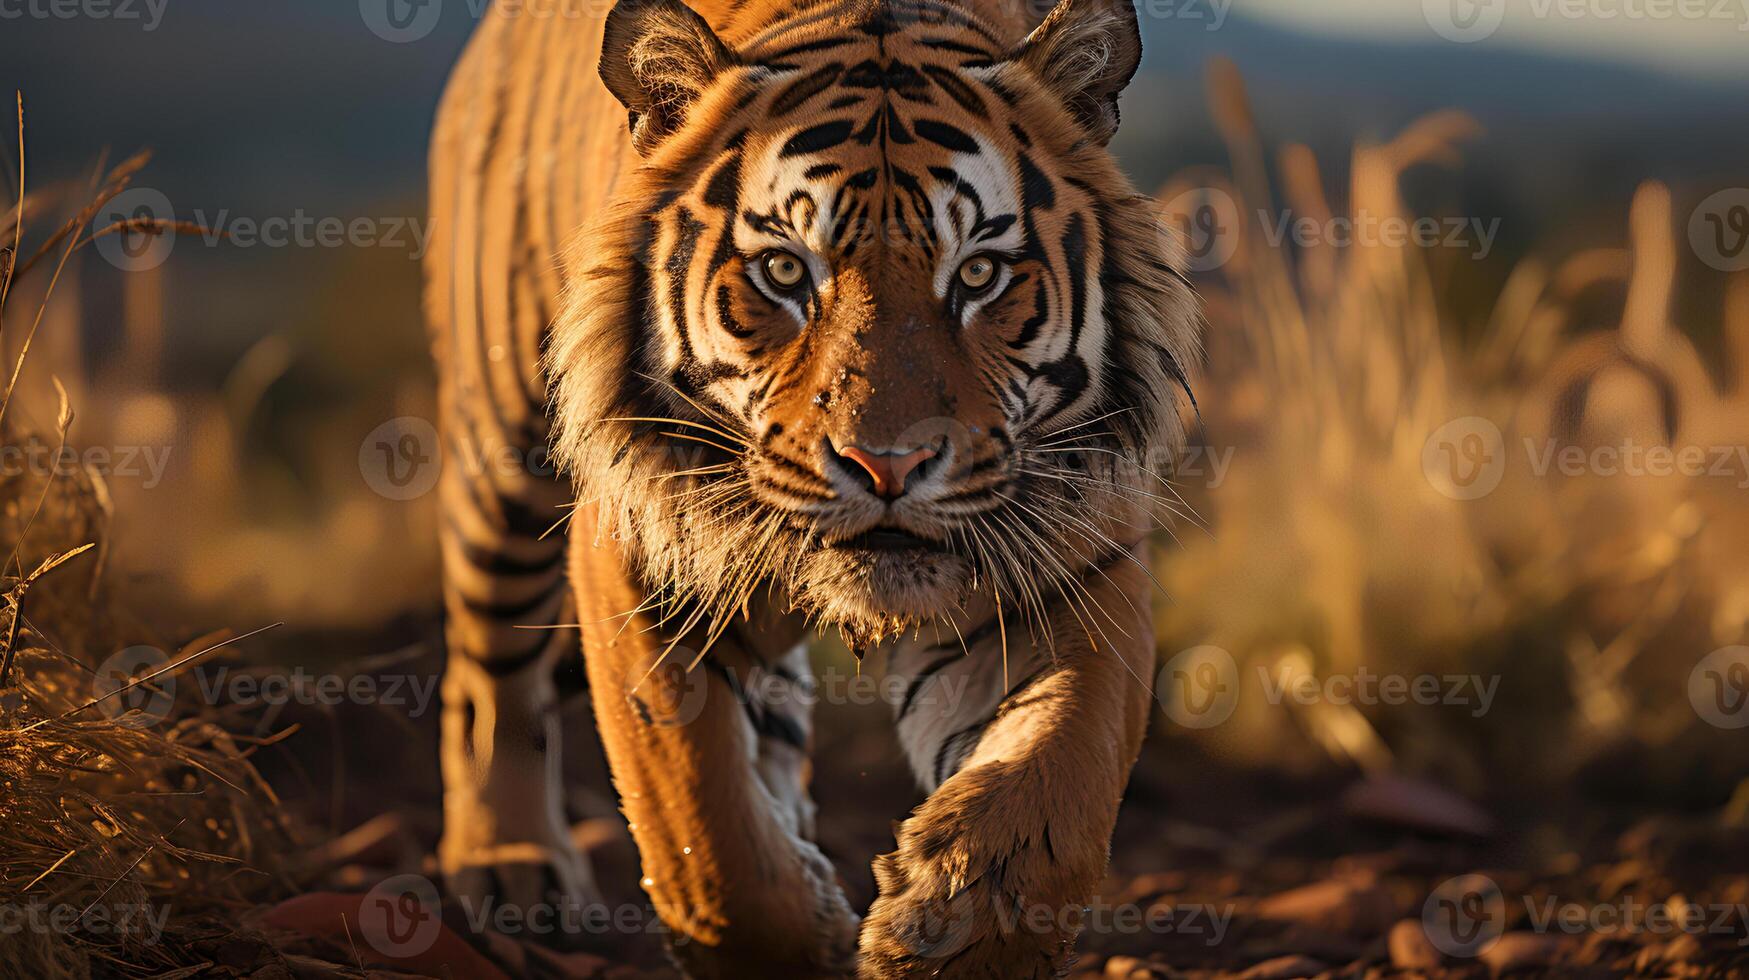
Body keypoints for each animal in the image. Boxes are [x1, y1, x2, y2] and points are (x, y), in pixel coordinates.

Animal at [426, 0, 1203, 973]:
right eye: (786, 272)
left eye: (977, 274)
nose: (888, 466)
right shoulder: (637, 546)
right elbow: (704, 826)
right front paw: (803, 936)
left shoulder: (1075, 560)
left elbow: (1062, 773)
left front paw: (948, 924)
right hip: (500, 442)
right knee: (487, 677)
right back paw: (508, 867)